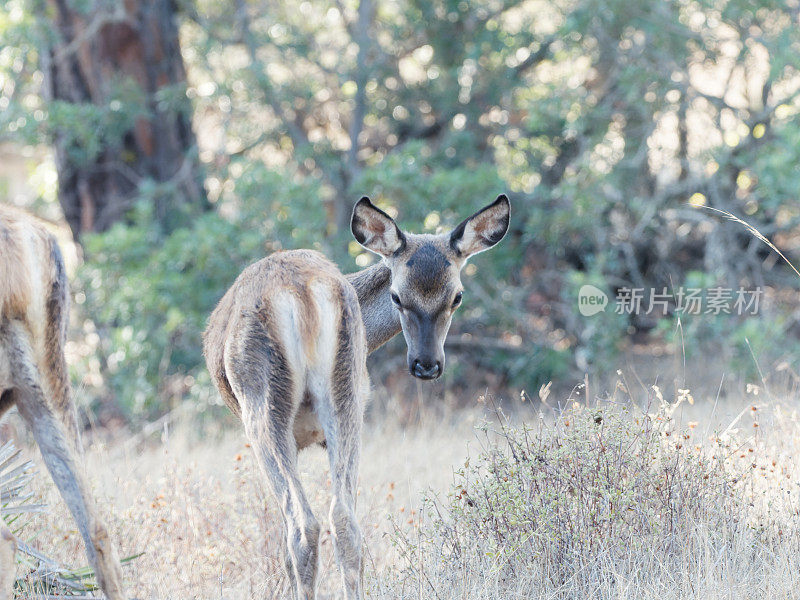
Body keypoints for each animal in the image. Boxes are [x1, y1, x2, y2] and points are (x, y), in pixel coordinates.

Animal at [203, 195, 510, 596]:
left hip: (263, 408)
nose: (427, 365)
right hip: (348, 397)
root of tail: (301, 294)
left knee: (302, 527)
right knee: (344, 520)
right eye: (397, 296)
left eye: (456, 297)